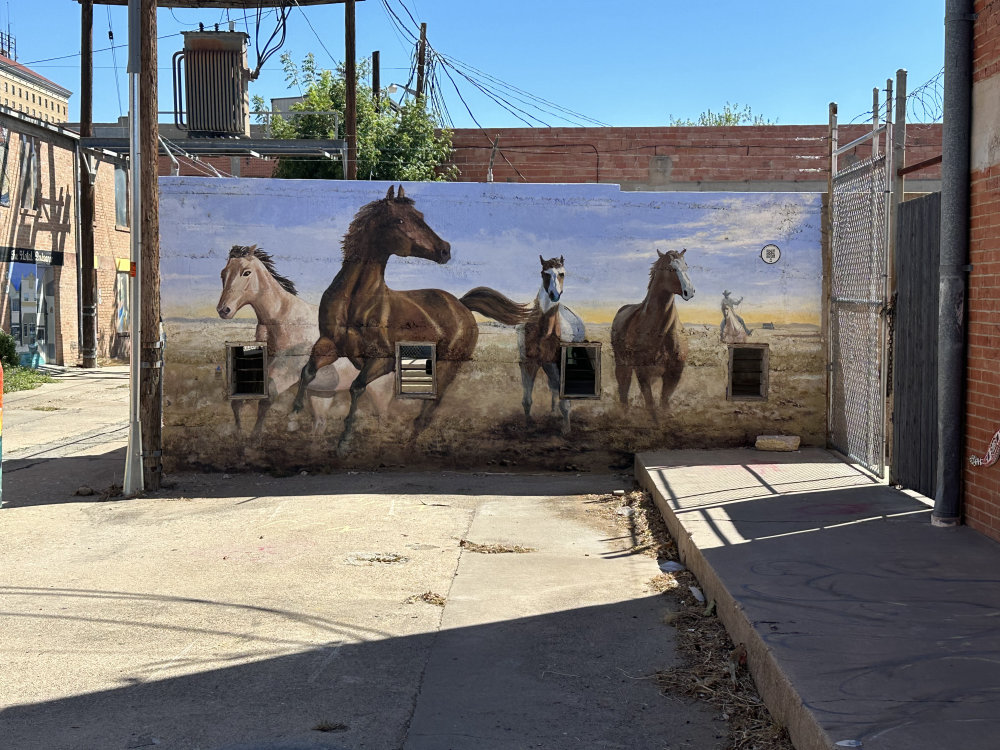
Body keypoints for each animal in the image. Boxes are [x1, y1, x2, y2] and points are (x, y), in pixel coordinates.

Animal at [217, 244, 392, 438]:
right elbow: (239, 400)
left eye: (246, 272)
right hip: (321, 394)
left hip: (379, 391)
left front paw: (255, 436)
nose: (224, 310)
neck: (283, 319)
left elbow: (266, 400)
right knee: (320, 423)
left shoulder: (286, 373)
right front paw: (239, 432)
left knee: (383, 418)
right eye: (223, 273)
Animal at [292, 187, 532, 458]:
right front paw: (294, 416)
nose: (445, 250)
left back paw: (407, 443)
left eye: (420, 216)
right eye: (399, 220)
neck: (355, 301)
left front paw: (344, 442)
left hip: (448, 366)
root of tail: (461, 305)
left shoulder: (382, 360)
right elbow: (307, 371)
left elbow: (356, 387)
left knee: (431, 405)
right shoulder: (329, 344)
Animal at [516, 256, 584, 434]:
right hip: (548, 365)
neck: (544, 330)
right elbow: (526, 400)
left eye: (562, 273)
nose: (554, 295)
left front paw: (566, 429)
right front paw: (528, 425)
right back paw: (553, 412)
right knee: (553, 386)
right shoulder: (528, 363)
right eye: (544, 273)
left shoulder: (558, 363)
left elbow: (564, 399)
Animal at [608, 251, 696, 418]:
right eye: (670, 268)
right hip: (622, 362)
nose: (689, 291)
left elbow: (664, 401)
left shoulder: (675, 371)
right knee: (623, 385)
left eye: (686, 267)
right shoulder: (642, 371)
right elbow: (650, 403)